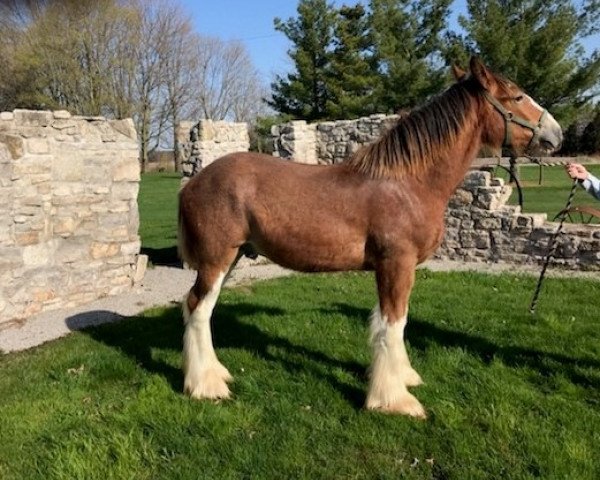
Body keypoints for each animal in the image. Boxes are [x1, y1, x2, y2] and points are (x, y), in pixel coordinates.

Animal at [178, 55, 564, 416]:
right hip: (216, 259)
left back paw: (216, 373)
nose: (556, 134)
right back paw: (205, 386)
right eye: (517, 96)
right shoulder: (396, 264)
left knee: (203, 309)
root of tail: (194, 182)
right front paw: (394, 400)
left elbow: (391, 323)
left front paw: (403, 377)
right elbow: (393, 324)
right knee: (197, 306)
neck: (408, 183)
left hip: (233, 257)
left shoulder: (391, 268)